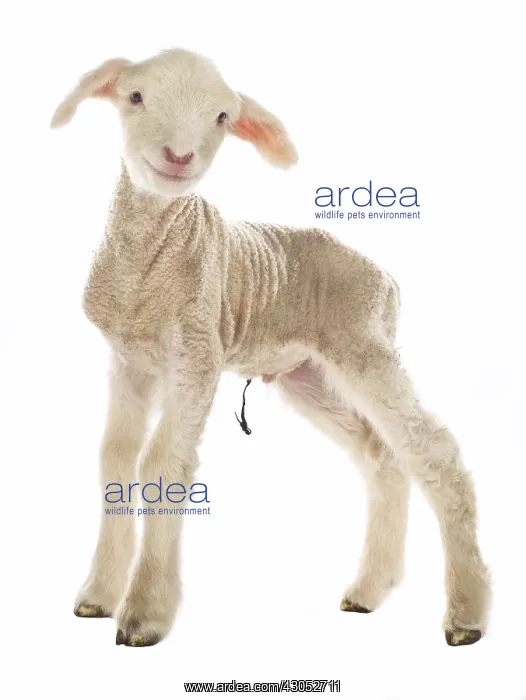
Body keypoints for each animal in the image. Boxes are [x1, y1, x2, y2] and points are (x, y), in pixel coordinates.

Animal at [51, 48, 490, 648]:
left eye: (222, 118)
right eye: (135, 96)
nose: (179, 157)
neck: (148, 264)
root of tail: (387, 279)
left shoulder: (197, 353)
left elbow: (162, 462)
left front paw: (142, 614)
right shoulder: (129, 360)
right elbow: (115, 458)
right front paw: (97, 596)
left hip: (365, 347)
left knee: (434, 454)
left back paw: (466, 616)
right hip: (310, 374)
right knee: (380, 457)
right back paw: (368, 591)